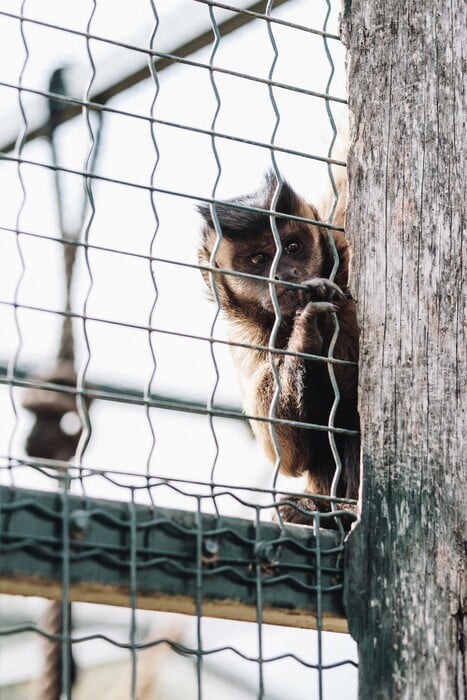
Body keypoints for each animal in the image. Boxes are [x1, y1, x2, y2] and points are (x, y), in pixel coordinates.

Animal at [197, 172, 358, 528]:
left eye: (293, 247)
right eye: (259, 259)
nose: (284, 273)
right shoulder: (243, 338)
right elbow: (289, 455)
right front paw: (306, 332)